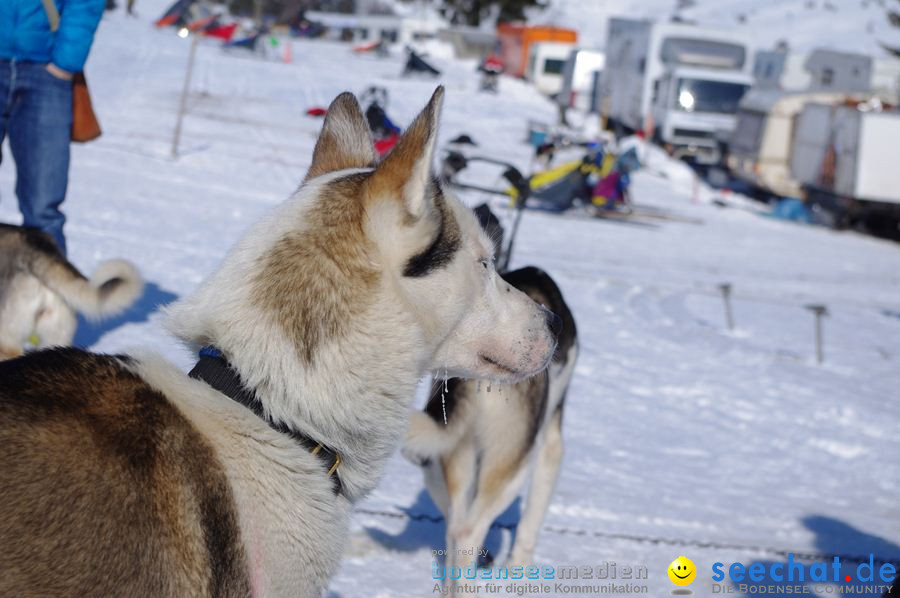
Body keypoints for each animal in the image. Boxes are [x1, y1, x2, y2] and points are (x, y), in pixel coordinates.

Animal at [406, 268, 580, 596]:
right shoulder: (551, 447)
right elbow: (529, 525)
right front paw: (517, 574)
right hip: (511, 465)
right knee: (467, 530)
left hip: (449, 457)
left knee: (455, 529)